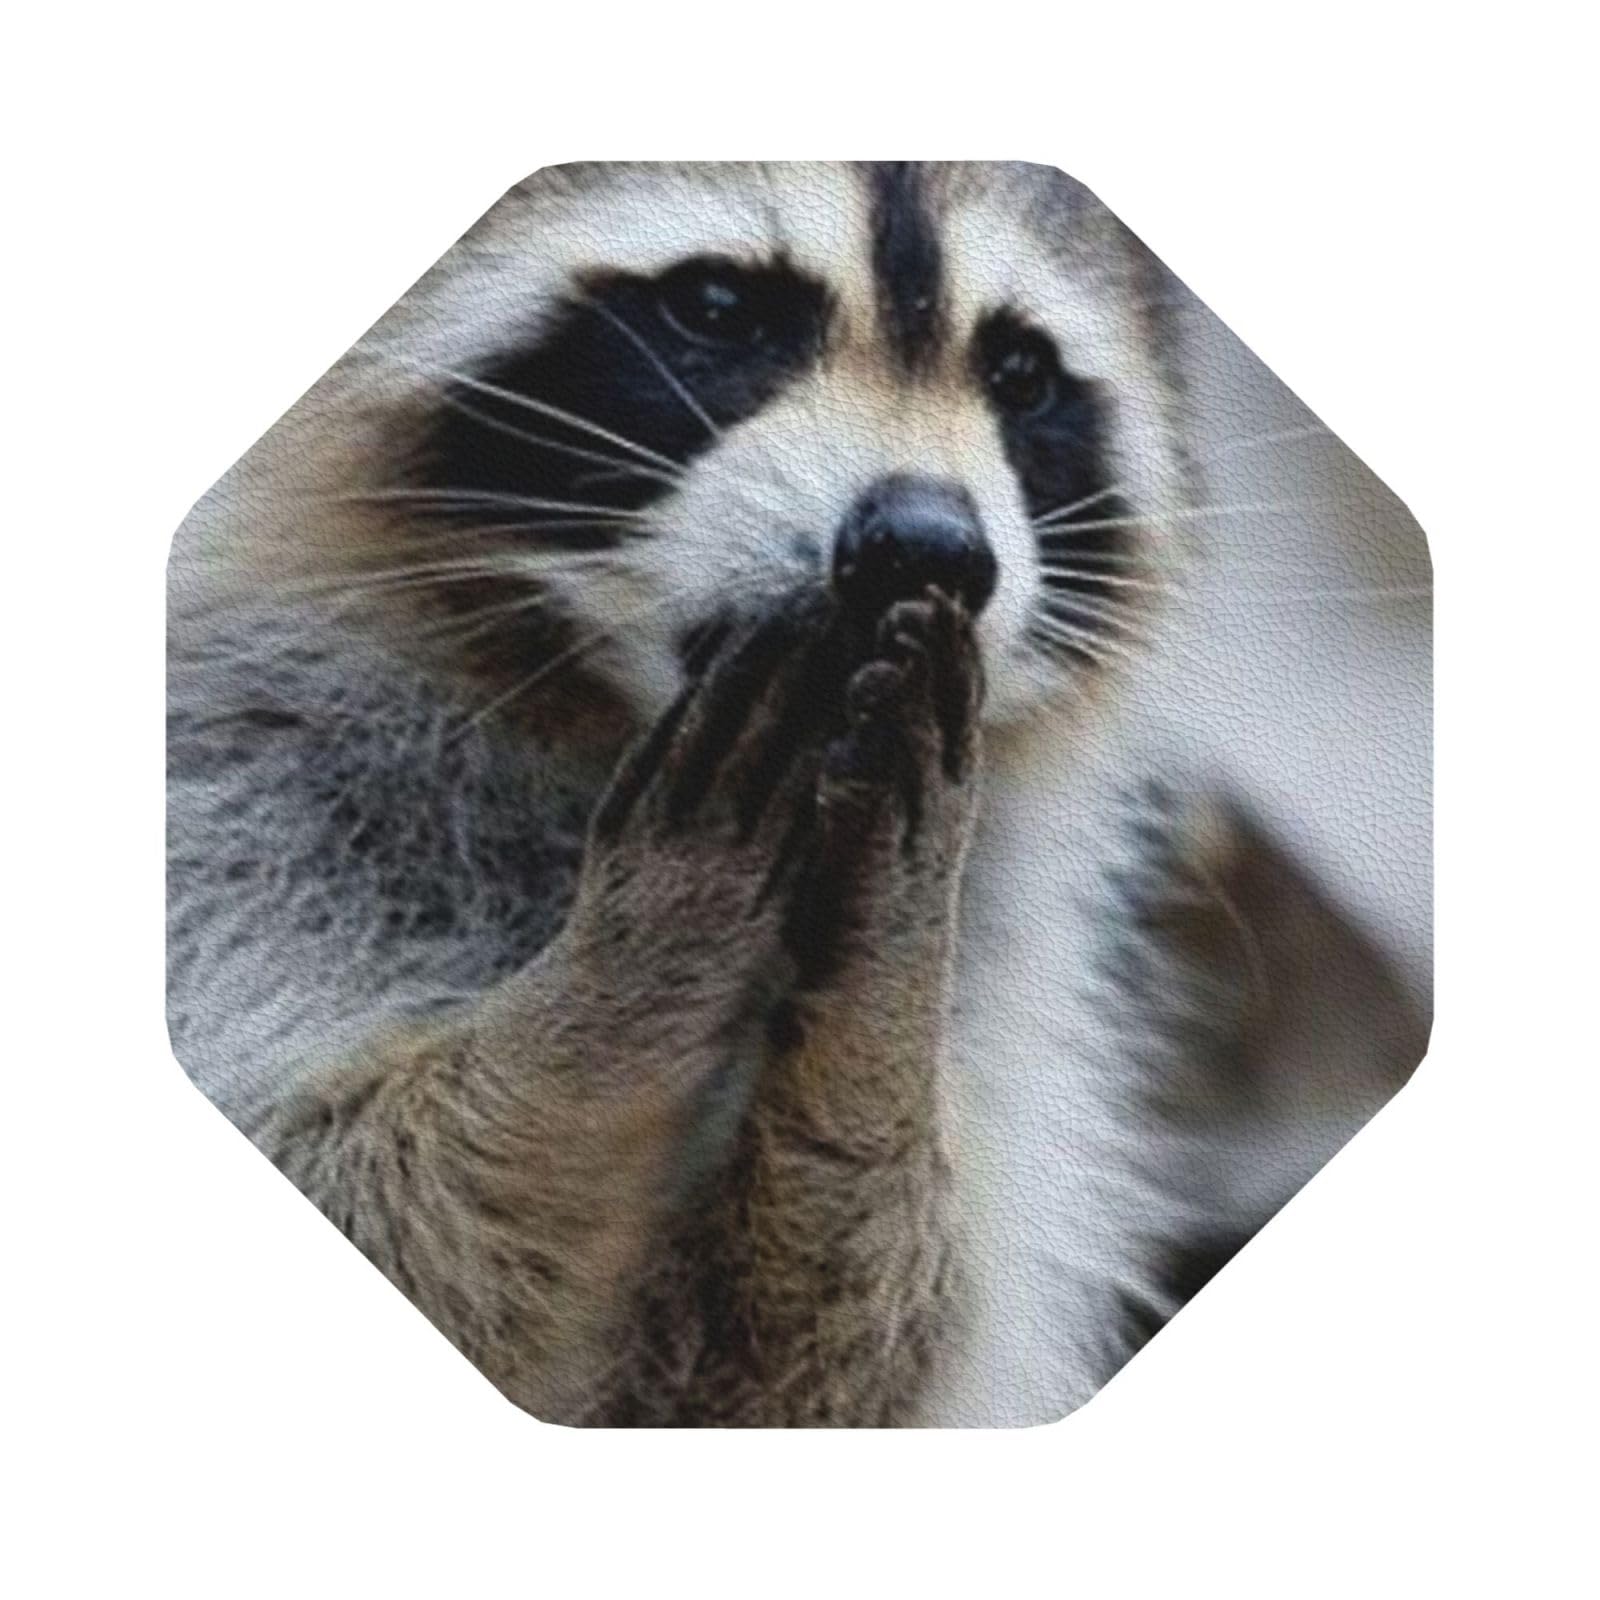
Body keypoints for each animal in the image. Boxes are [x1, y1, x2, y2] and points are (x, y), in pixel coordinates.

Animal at [168, 161, 1425, 1426]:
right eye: (719, 308)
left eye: (1018, 372)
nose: (926, 544)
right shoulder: (245, 799)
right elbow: (367, 1195)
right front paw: (627, 973)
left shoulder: (1006, 969)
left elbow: (818, 1364)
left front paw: (875, 1010)